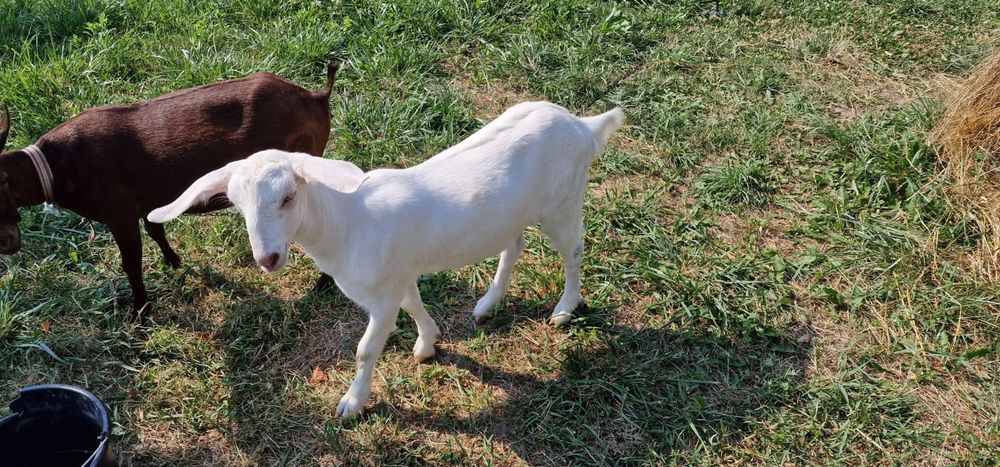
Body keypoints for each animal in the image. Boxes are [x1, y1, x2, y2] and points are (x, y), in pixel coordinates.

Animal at [0, 63, 341, 314]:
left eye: (2, 181)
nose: (7, 242)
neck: (58, 167)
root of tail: (316, 96)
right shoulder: (146, 201)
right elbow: (155, 228)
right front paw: (173, 262)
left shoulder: (119, 214)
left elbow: (131, 264)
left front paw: (141, 311)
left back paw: (324, 284)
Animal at [149, 101, 625, 418]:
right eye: (236, 204)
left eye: (288, 197)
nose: (267, 258)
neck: (347, 224)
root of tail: (584, 126)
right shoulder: (396, 277)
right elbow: (414, 304)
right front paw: (428, 345)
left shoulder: (379, 297)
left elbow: (365, 350)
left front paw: (352, 404)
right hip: (516, 212)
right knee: (514, 245)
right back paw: (488, 305)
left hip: (563, 202)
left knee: (573, 251)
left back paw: (564, 310)